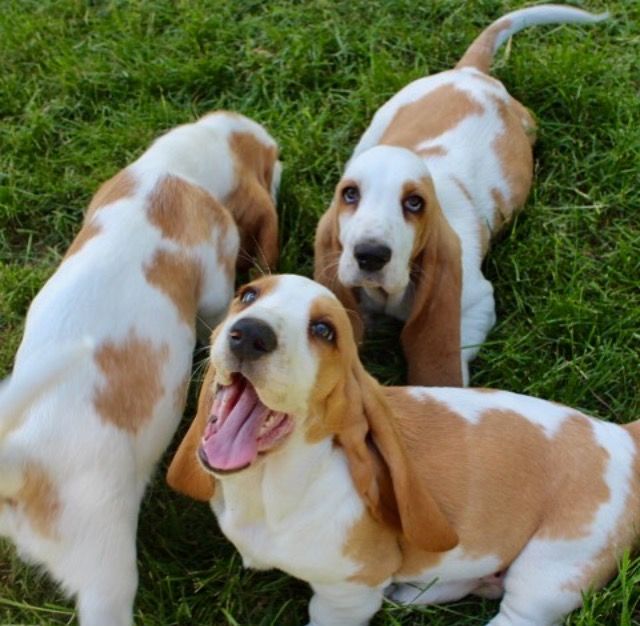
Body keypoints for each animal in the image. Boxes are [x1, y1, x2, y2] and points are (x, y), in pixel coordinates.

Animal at [0, 111, 280, 624]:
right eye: (271, 161)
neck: (172, 170)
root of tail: (20, 463)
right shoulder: (216, 278)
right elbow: (215, 311)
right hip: (106, 575)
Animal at [169, 276, 640, 624]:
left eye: (323, 331)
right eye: (248, 295)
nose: (249, 333)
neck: (270, 483)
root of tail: (622, 436)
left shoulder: (347, 594)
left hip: (551, 570)